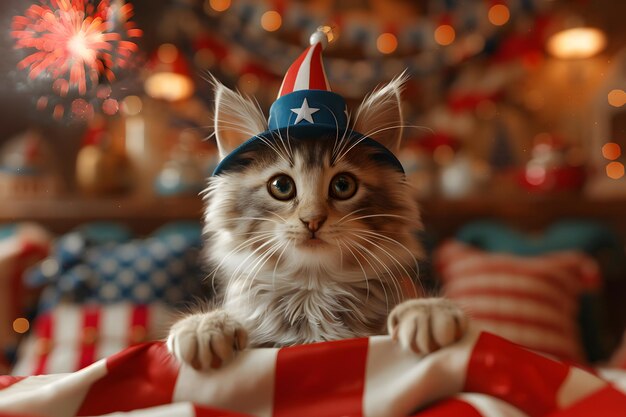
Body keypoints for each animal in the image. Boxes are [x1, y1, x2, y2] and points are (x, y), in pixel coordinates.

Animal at [166, 75, 464, 370]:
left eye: (343, 185)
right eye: (281, 186)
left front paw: (427, 310)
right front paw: (205, 325)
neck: (313, 291)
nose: (313, 220)